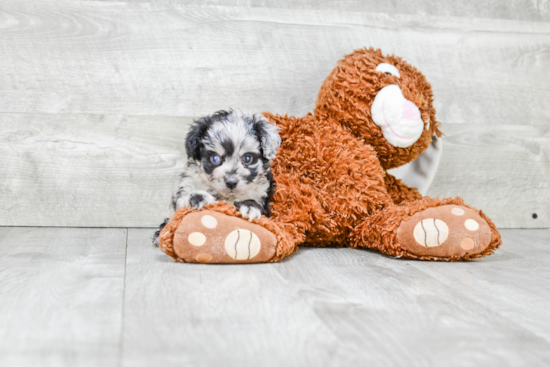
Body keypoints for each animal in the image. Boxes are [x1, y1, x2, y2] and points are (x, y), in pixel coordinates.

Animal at [155, 110, 284, 247]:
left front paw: (250, 207)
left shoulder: (262, 193)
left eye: (247, 158)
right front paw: (198, 197)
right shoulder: (188, 183)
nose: (231, 182)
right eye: (215, 158)